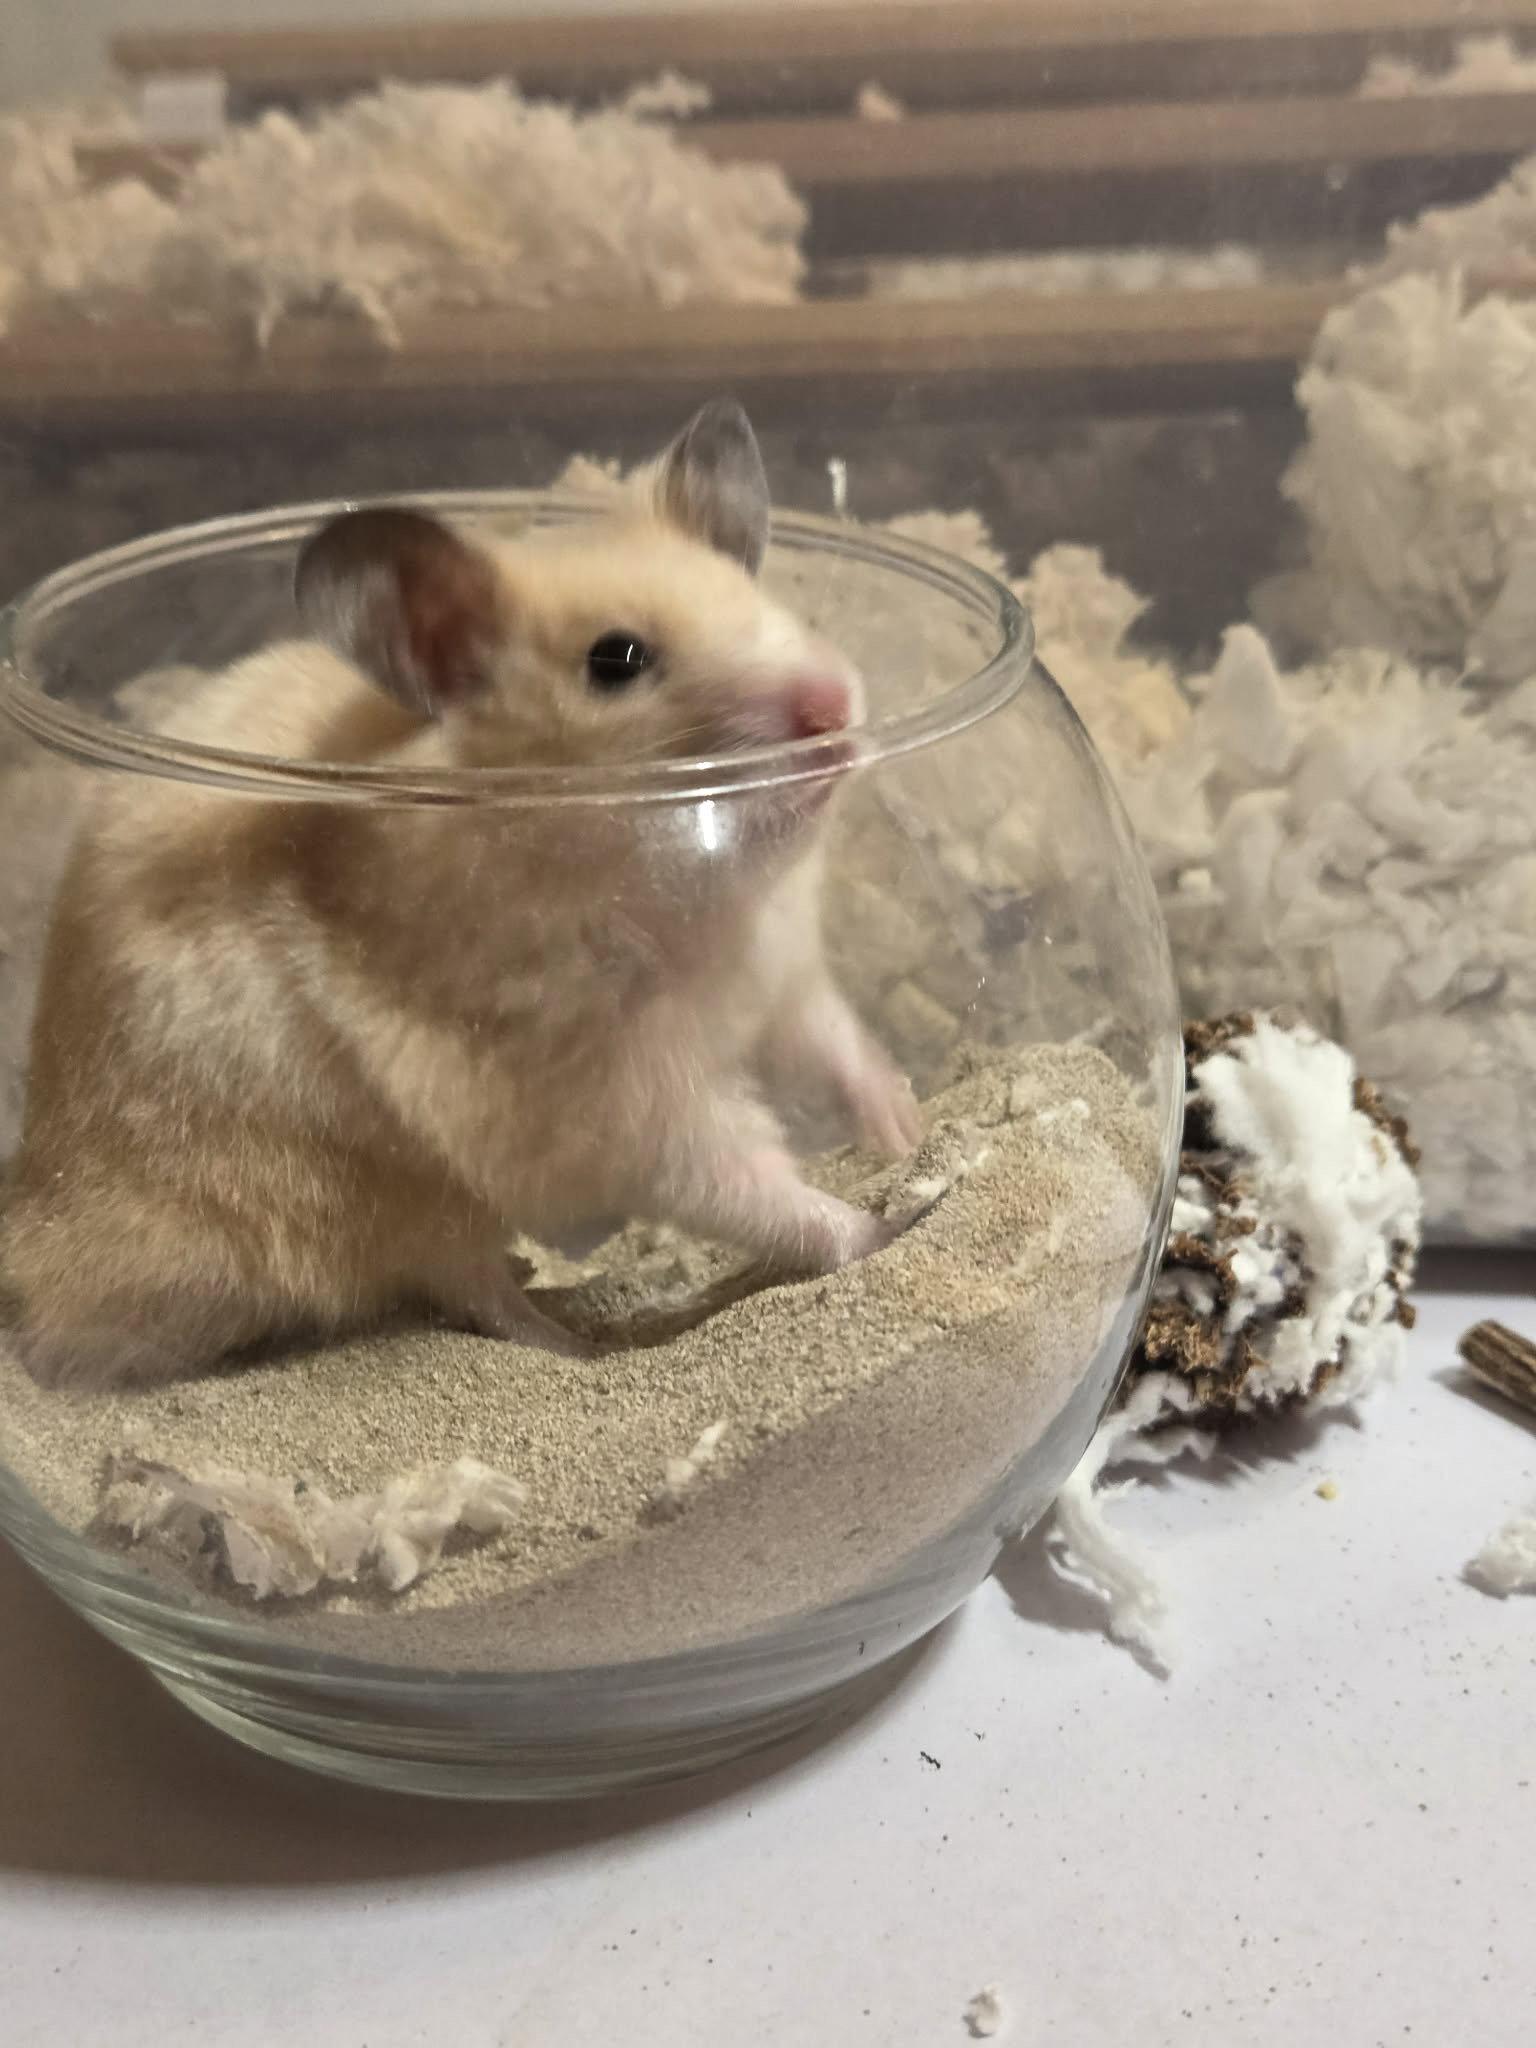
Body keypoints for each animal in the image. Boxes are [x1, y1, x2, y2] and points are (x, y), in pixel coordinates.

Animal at [3, 400, 920, 1389]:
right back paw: (577, 1345)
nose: (835, 706)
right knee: (468, 1290)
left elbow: (841, 1050)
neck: (702, 899)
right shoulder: (616, 1100)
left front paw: (907, 1134)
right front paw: (884, 1225)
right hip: (364, 1198)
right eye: (617, 659)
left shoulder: (785, 976)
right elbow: (750, 1185)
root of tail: (31, 1225)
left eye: (766, 604)